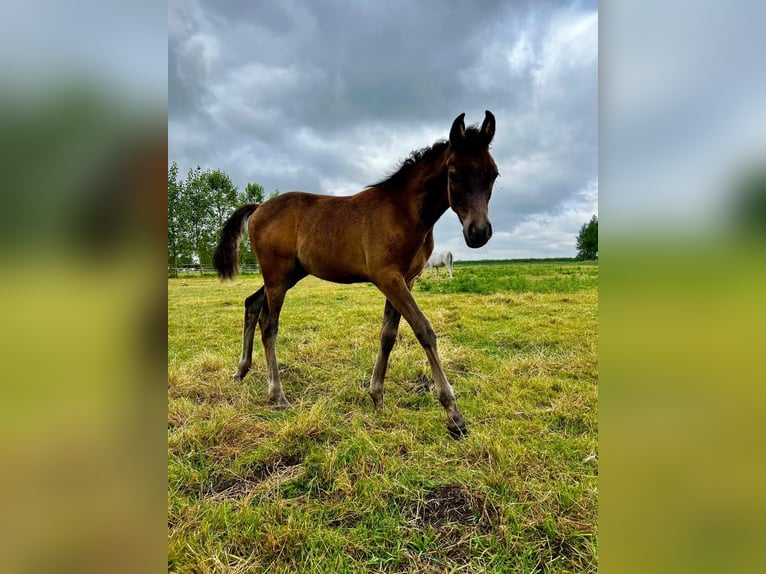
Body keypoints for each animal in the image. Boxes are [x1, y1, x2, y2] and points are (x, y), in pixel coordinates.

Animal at [213, 111, 500, 436]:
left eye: (493, 174)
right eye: (453, 174)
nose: (478, 232)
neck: (403, 213)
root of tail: (260, 206)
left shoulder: (406, 279)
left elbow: (388, 334)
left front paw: (377, 398)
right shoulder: (388, 277)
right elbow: (423, 329)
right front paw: (454, 415)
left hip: (287, 275)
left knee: (252, 304)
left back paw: (241, 371)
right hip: (277, 276)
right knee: (269, 325)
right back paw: (277, 394)